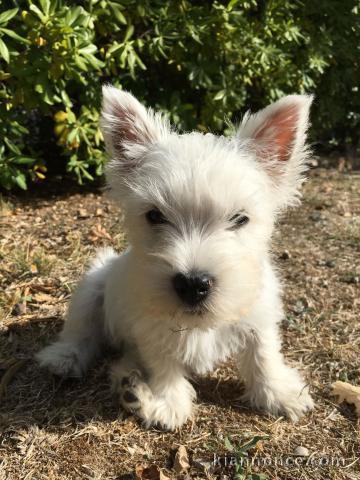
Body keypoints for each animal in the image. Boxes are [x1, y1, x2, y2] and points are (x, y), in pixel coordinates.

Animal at [35, 87, 312, 432]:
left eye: (240, 218)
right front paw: (168, 405)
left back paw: (130, 385)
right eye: (155, 216)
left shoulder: (258, 314)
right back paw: (66, 359)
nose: (193, 284)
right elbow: (163, 363)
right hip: (92, 286)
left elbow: (264, 353)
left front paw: (278, 393)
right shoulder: (151, 328)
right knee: (81, 331)